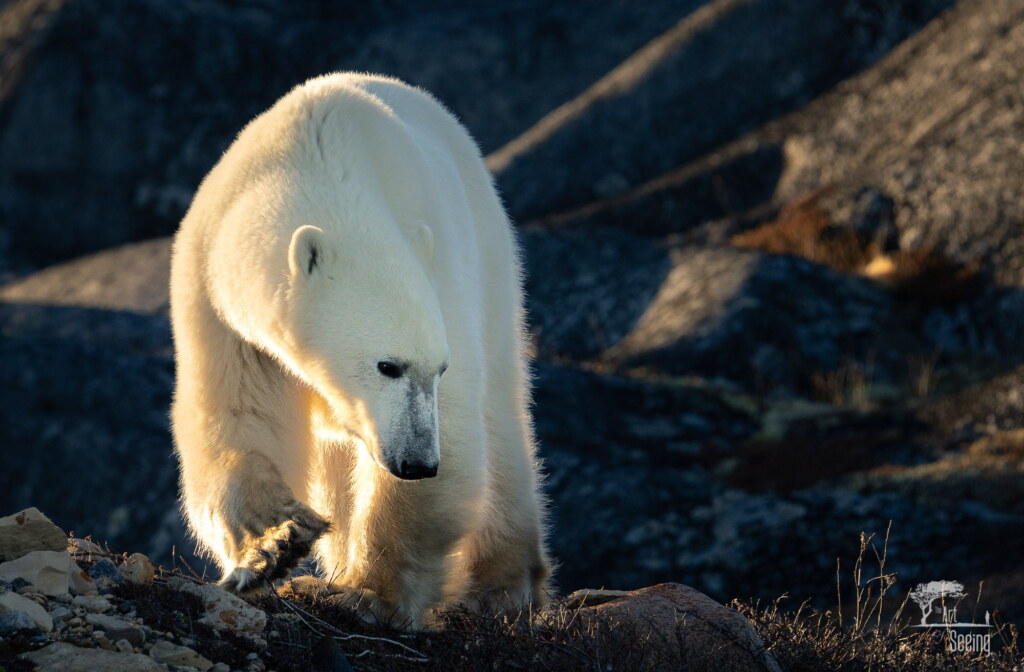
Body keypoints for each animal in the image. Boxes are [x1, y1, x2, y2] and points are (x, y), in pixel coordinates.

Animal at [169, 73, 550, 629]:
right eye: (386, 366)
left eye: (439, 369)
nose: (418, 462)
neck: (316, 155)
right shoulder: (220, 302)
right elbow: (240, 415)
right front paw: (274, 546)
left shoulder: (439, 270)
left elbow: (456, 430)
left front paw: (367, 594)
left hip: (493, 263)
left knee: (500, 422)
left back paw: (501, 586)